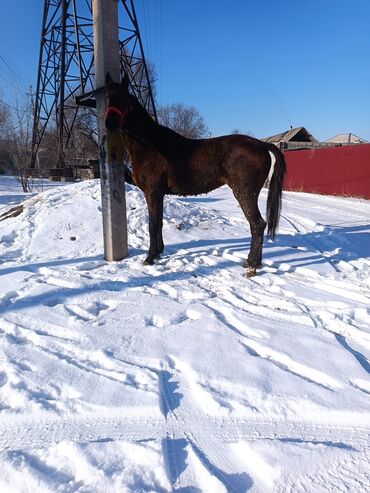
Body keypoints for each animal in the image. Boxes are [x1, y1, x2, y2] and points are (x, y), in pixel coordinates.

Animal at [104, 72, 286, 276]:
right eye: (107, 97)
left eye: (123, 98)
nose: (110, 123)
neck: (149, 146)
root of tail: (261, 144)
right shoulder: (159, 194)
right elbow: (158, 223)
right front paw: (158, 252)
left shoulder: (152, 192)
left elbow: (153, 225)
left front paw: (150, 258)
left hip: (245, 193)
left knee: (257, 225)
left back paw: (253, 264)